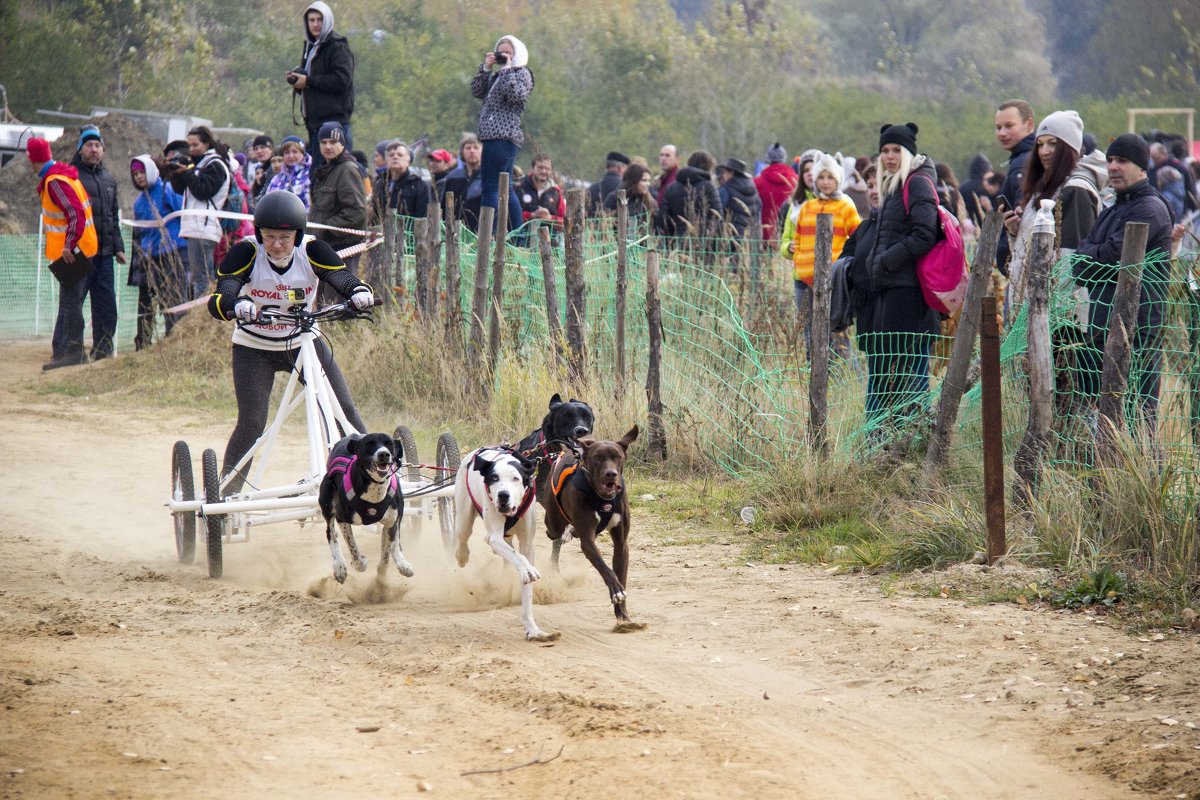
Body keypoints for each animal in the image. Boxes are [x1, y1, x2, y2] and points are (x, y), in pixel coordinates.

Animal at [316, 434, 415, 585]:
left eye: (390, 444)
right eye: (369, 444)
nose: (384, 454)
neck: (375, 490)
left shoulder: (390, 522)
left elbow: (386, 555)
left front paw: (381, 580)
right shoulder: (342, 518)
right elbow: (354, 550)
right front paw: (359, 563)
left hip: (400, 510)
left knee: (397, 535)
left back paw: (401, 562)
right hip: (327, 504)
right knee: (331, 533)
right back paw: (339, 566)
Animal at [451, 443, 559, 642]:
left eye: (516, 478)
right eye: (494, 478)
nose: (503, 495)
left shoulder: (527, 545)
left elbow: (523, 562)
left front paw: (533, 629)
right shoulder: (495, 537)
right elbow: (519, 559)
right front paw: (527, 570)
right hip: (463, 517)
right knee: (462, 536)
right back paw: (462, 556)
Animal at [542, 429, 643, 628]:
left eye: (617, 456)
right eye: (597, 457)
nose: (611, 474)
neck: (602, 498)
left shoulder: (621, 544)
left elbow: (620, 573)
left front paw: (623, 615)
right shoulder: (587, 541)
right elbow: (606, 569)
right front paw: (616, 591)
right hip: (553, 519)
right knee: (554, 533)